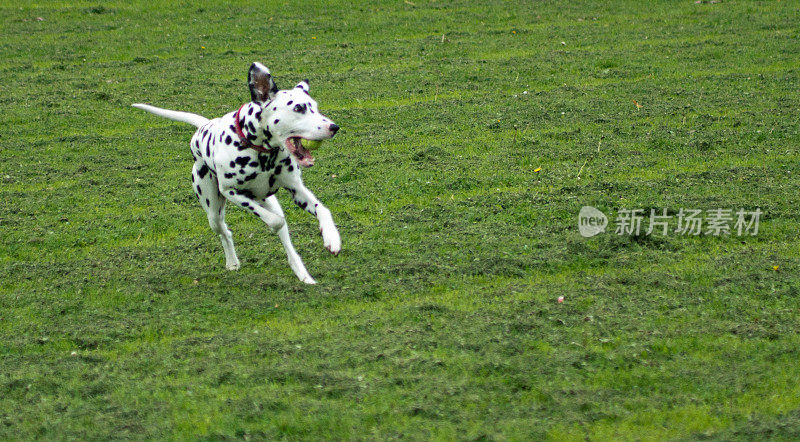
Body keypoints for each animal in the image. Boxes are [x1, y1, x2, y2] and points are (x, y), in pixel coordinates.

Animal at [130, 61, 340, 284]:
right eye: (298, 108)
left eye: (315, 107)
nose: (334, 127)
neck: (261, 152)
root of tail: (203, 126)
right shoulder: (232, 193)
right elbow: (275, 220)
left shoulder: (297, 190)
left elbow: (322, 210)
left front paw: (332, 238)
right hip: (213, 212)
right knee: (226, 231)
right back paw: (232, 262)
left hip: (268, 202)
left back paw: (303, 275)